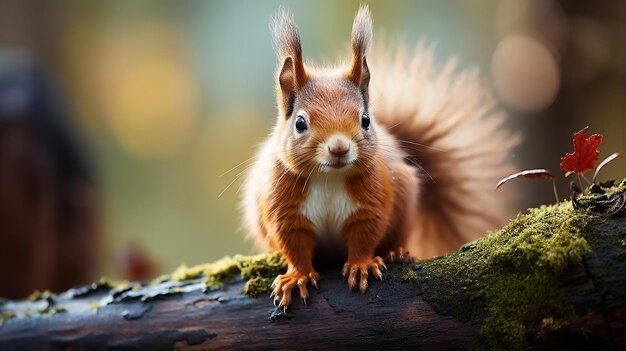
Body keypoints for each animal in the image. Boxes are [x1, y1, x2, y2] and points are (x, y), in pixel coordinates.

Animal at [241, 4, 516, 310]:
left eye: (365, 120)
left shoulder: (373, 198)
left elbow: (365, 233)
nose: (339, 148)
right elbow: (294, 244)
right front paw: (297, 276)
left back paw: (397, 253)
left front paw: (361, 265)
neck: (328, 178)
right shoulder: (283, 206)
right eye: (300, 123)